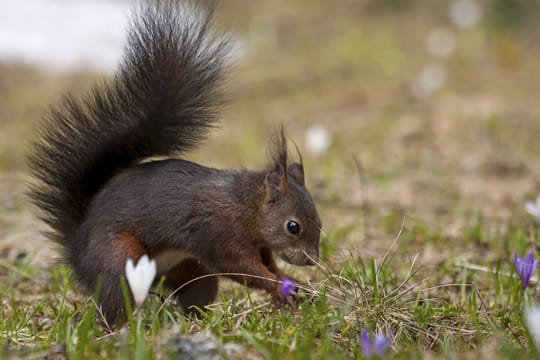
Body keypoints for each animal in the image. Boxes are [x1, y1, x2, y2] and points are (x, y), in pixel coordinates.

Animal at [27, 0, 320, 324]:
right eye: (293, 226)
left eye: (318, 220)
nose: (312, 261)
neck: (247, 207)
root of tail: (76, 249)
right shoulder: (220, 234)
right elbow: (241, 268)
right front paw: (278, 286)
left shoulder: (260, 243)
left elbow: (268, 263)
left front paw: (289, 285)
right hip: (119, 260)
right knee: (114, 302)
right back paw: (122, 327)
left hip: (191, 271)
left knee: (195, 295)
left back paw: (200, 322)